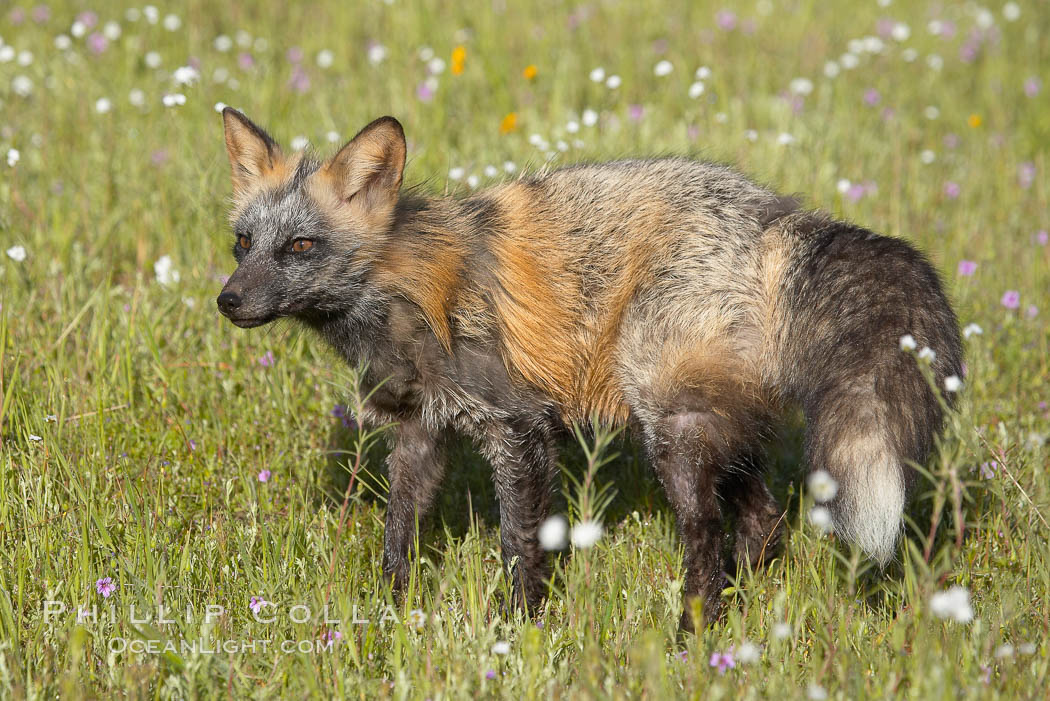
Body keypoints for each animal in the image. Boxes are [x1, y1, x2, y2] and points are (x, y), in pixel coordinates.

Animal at [217, 109, 961, 629]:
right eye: (244, 243)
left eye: (301, 246)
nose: (227, 301)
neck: (413, 290)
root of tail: (781, 215)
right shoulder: (421, 432)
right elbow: (398, 533)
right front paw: (393, 615)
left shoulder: (518, 428)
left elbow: (520, 543)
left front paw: (515, 632)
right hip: (714, 422)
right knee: (764, 522)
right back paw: (735, 613)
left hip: (670, 430)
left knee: (707, 535)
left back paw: (691, 636)